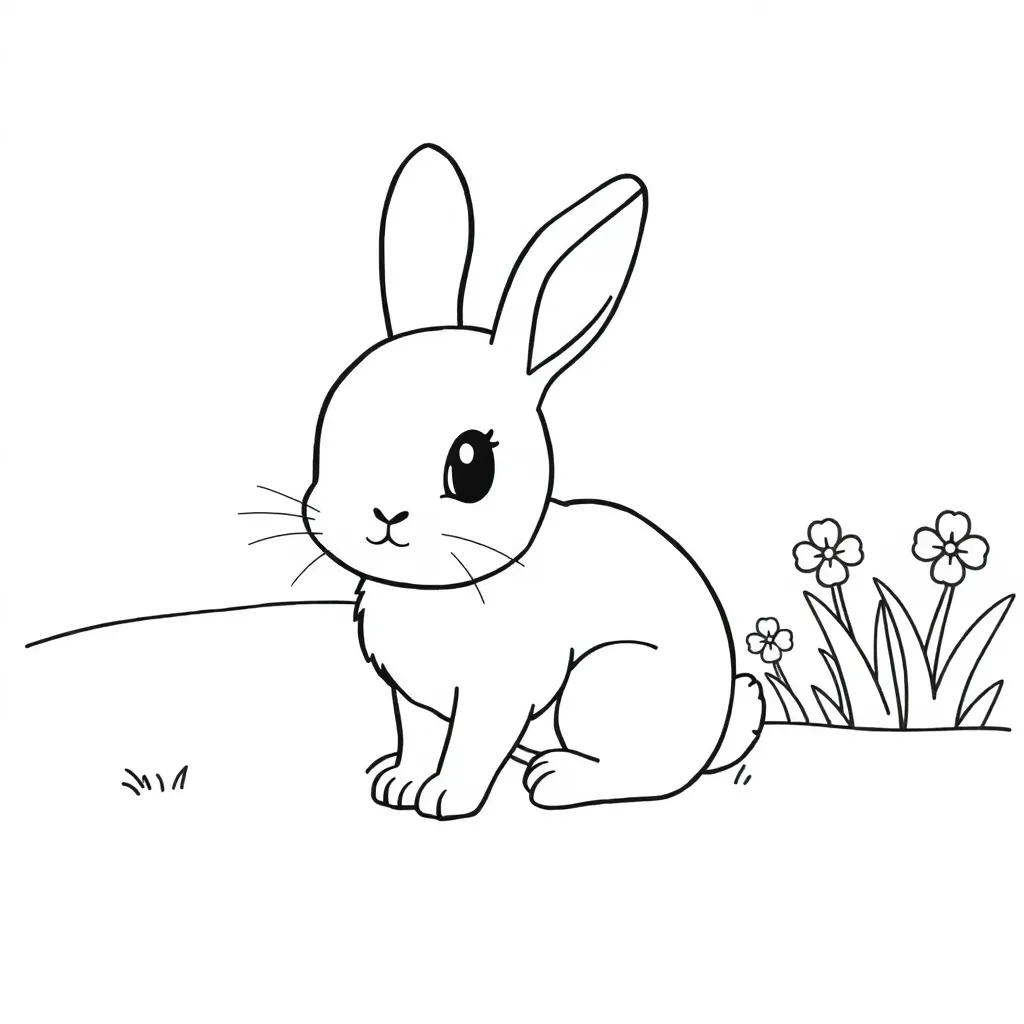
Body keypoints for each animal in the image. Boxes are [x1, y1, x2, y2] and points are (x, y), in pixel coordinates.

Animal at [301, 144, 764, 819]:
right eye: (334, 426)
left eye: (471, 467)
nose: (384, 516)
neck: (445, 587)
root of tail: (715, 731)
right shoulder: (412, 701)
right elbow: (418, 739)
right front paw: (398, 786)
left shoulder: (497, 695)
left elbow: (470, 749)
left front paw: (445, 799)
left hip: (604, 685)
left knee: (648, 775)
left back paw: (557, 779)